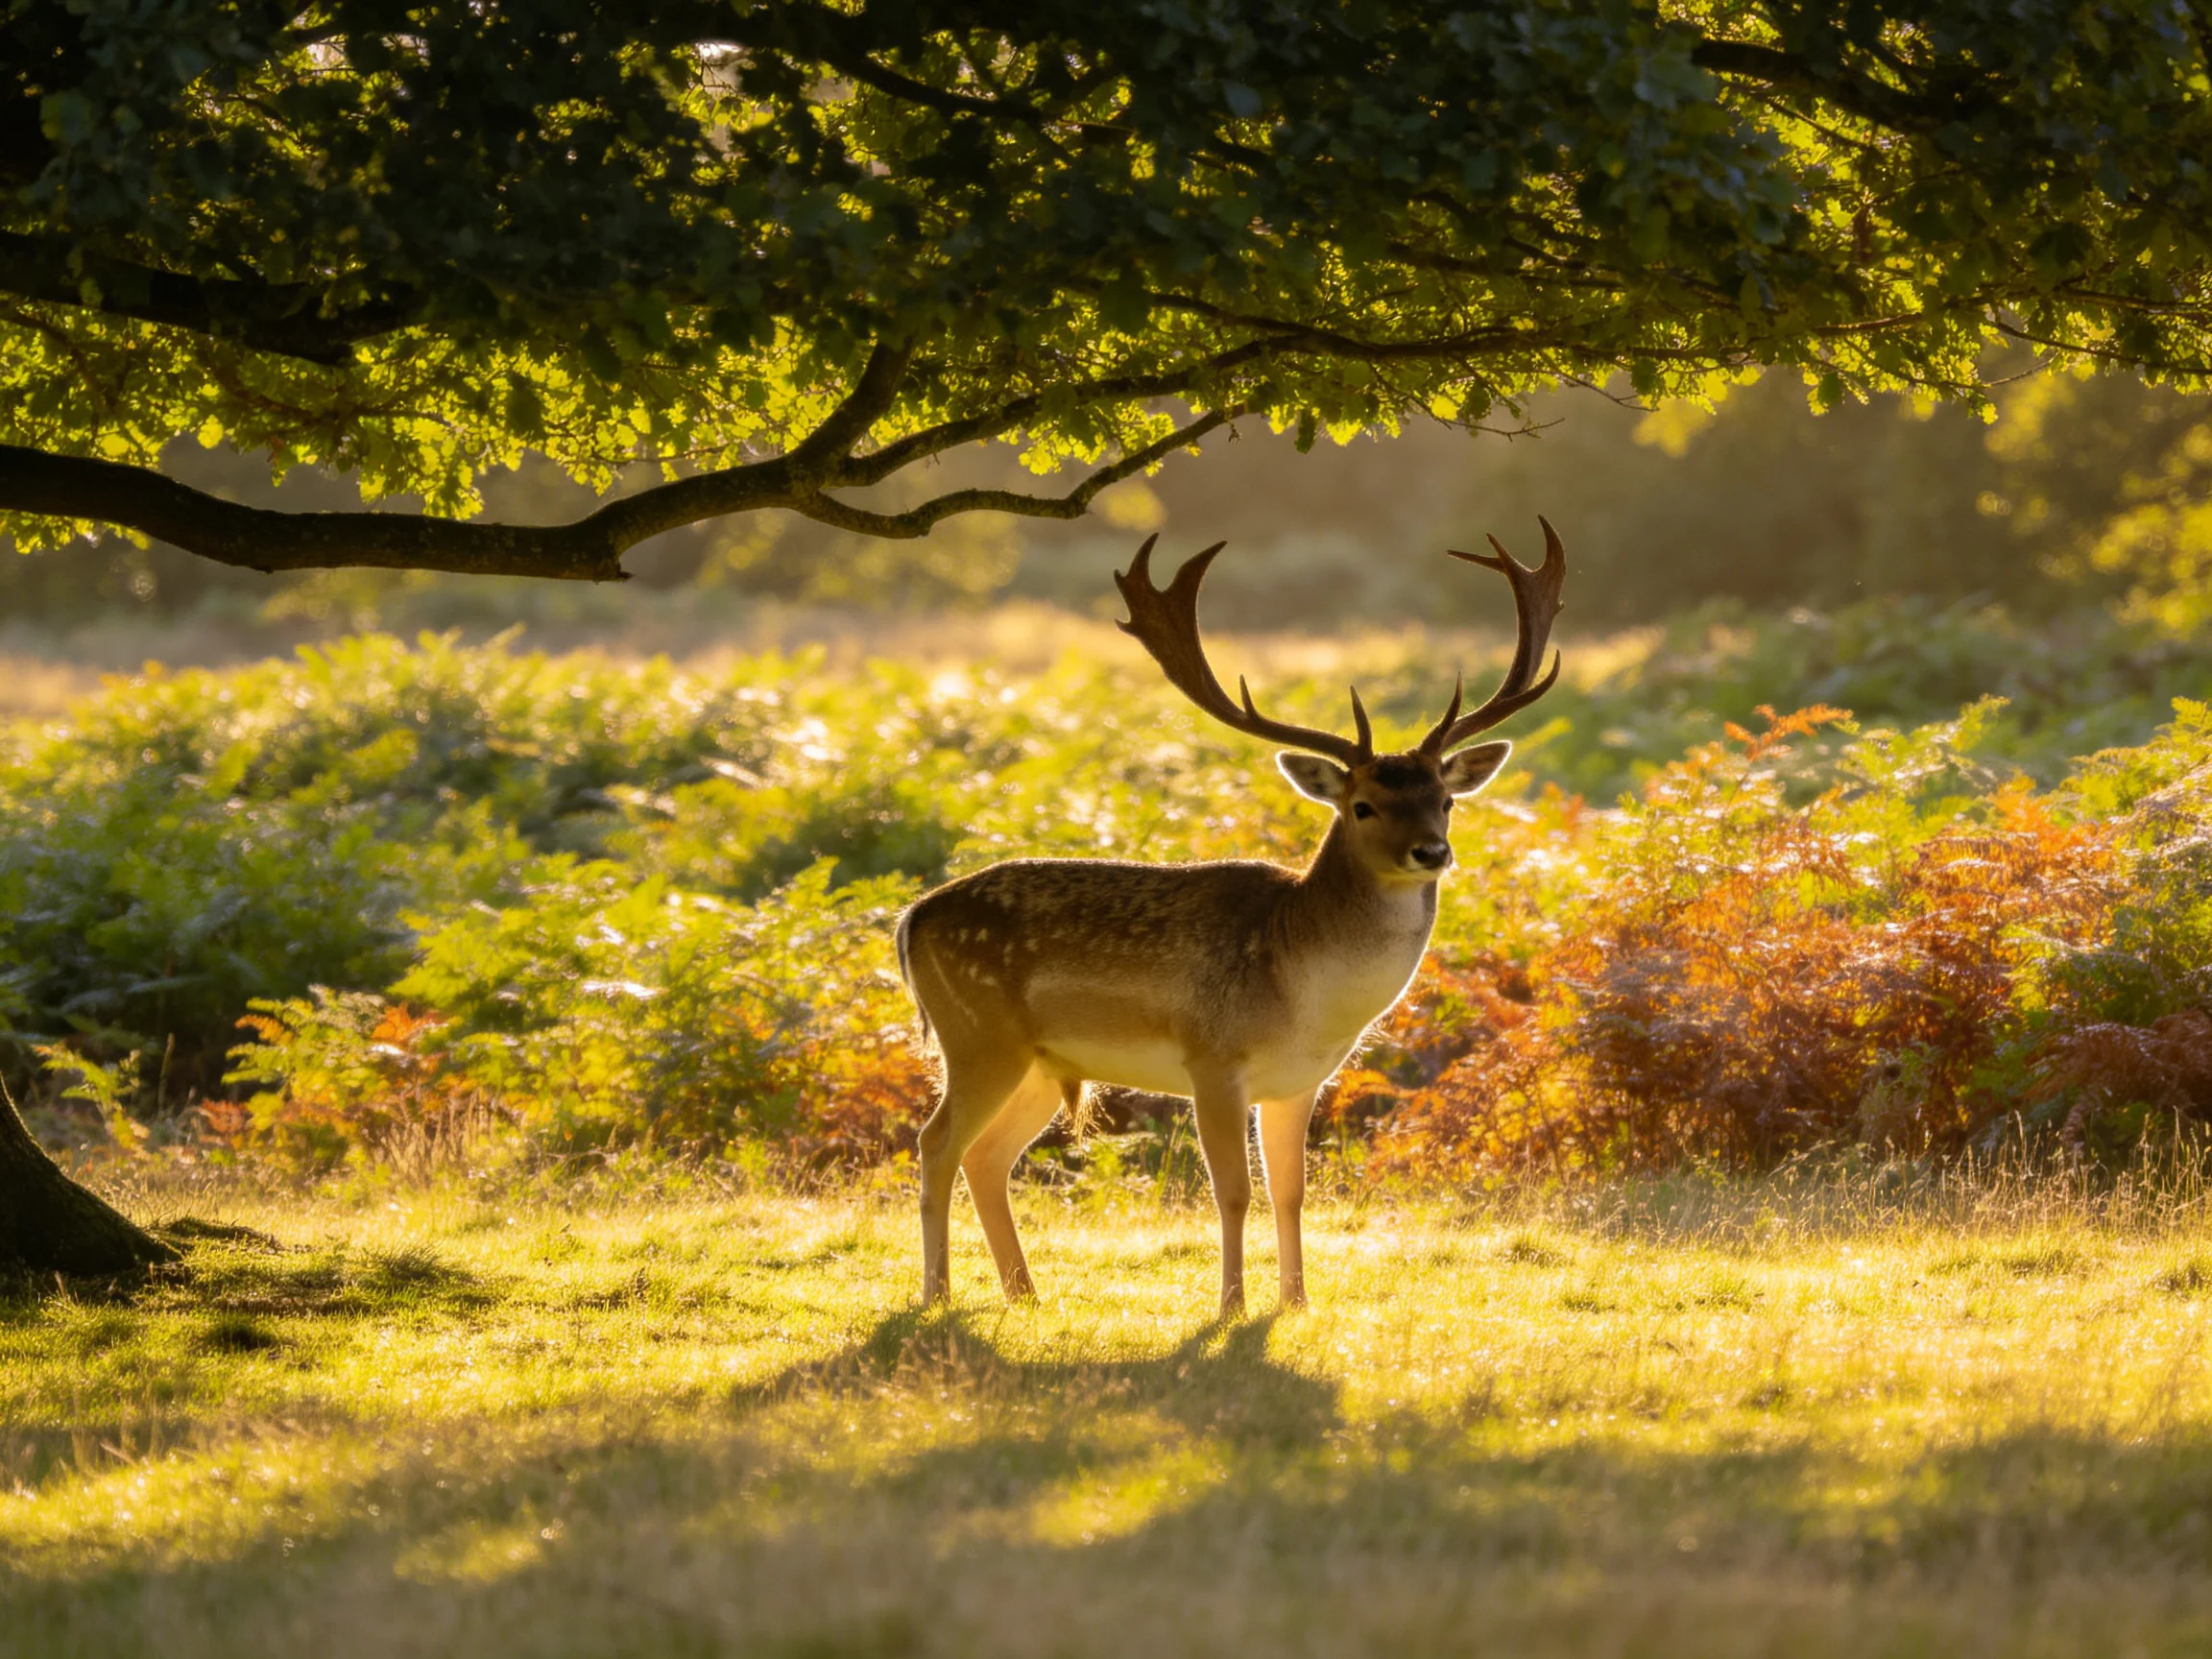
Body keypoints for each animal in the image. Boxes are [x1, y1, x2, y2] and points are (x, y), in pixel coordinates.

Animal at [895, 520, 1566, 1314]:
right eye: (1363, 805)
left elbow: (1292, 1192)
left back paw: (1025, 1294)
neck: (1305, 994)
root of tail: (910, 920)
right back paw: (936, 1293)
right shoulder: (1212, 1059)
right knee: (937, 1143)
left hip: (1037, 1061)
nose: (1431, 850)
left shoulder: (1301, 1082)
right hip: (977, 1035)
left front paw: (1297, 1303)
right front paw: (1232, 1305)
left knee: (988, 1156)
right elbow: (1234, 1192)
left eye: (1447, 799)